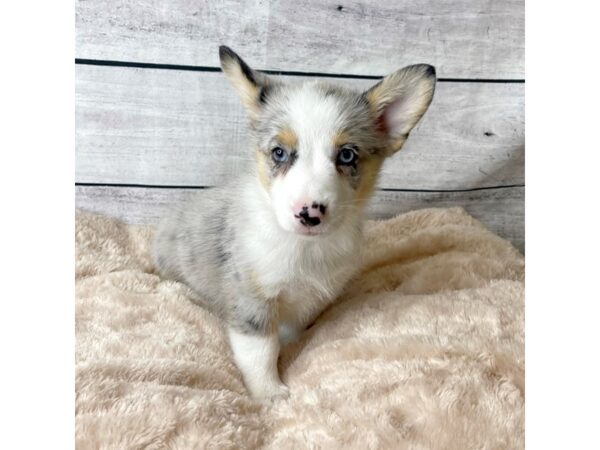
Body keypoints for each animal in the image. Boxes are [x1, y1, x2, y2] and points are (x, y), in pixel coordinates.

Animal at [155, 46, 436, 400]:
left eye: (347, 155)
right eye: (279, 152)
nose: (309, 213)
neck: (304, 248)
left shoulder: (310, 300)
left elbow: (290, 334)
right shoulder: (252, 298)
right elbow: (260, 352)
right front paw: (270, 395)